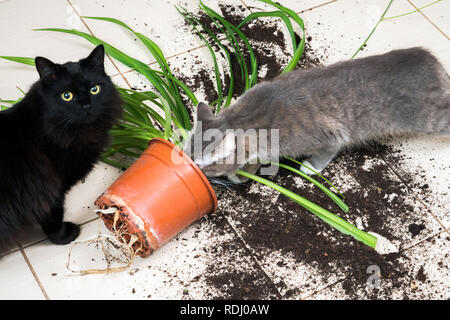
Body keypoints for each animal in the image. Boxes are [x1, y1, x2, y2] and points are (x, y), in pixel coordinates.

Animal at [0, 45, 123, 250]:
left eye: (94, 89)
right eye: (67, 96)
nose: (86, 106)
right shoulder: (52, 190)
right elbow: (53, 219)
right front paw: (65, 236)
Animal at [184, 47, 450, 182]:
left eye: (203, 166)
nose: (193, 170)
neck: (246, 117)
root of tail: (434, 64)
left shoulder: (331, 135)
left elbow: (326, 152)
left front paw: (310, 167)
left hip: (431, 119)